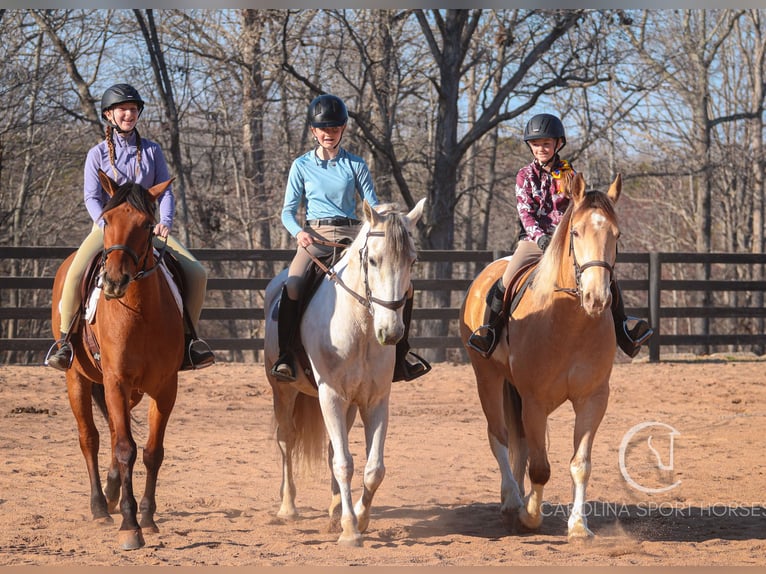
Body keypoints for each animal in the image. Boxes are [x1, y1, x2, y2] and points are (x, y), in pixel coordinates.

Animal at [50, 171, 185, 552]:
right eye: (107, 220)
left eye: (147, 224)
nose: (112, 281)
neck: (140, 312)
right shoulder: (115, 381)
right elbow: (126, 449)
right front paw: (130, 526)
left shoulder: (165, 388)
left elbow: (153, 451)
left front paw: (148, 518)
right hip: (78, 380)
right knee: (91, 438)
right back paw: (100, 507)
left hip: (131, 392)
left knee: (111, 432)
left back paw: (111, 493)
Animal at [266, 199, 426, 548]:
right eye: (373, 260)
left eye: (412, 260)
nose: (391, 332)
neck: (361, 326)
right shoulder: (331, 396)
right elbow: (344, 464)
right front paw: (351, 531)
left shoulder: (376, 401)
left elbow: (373, 469)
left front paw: (359, 518)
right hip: (283, 391)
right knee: (286, 440)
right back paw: (288, 507)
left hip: (350, 405)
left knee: (330, 449)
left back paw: (334, 509)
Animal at [460, 173, 620, 544]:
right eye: (575, 232)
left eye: (616, 234)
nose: (596, 298)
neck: (570, 322)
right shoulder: (534, 402)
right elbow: (540, 467)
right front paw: (530, 516)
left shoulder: (593, 400)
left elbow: (580, 464)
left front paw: (578, 526)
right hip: (488, 379)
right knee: (500, 437)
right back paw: (511, 502)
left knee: (516, 444)